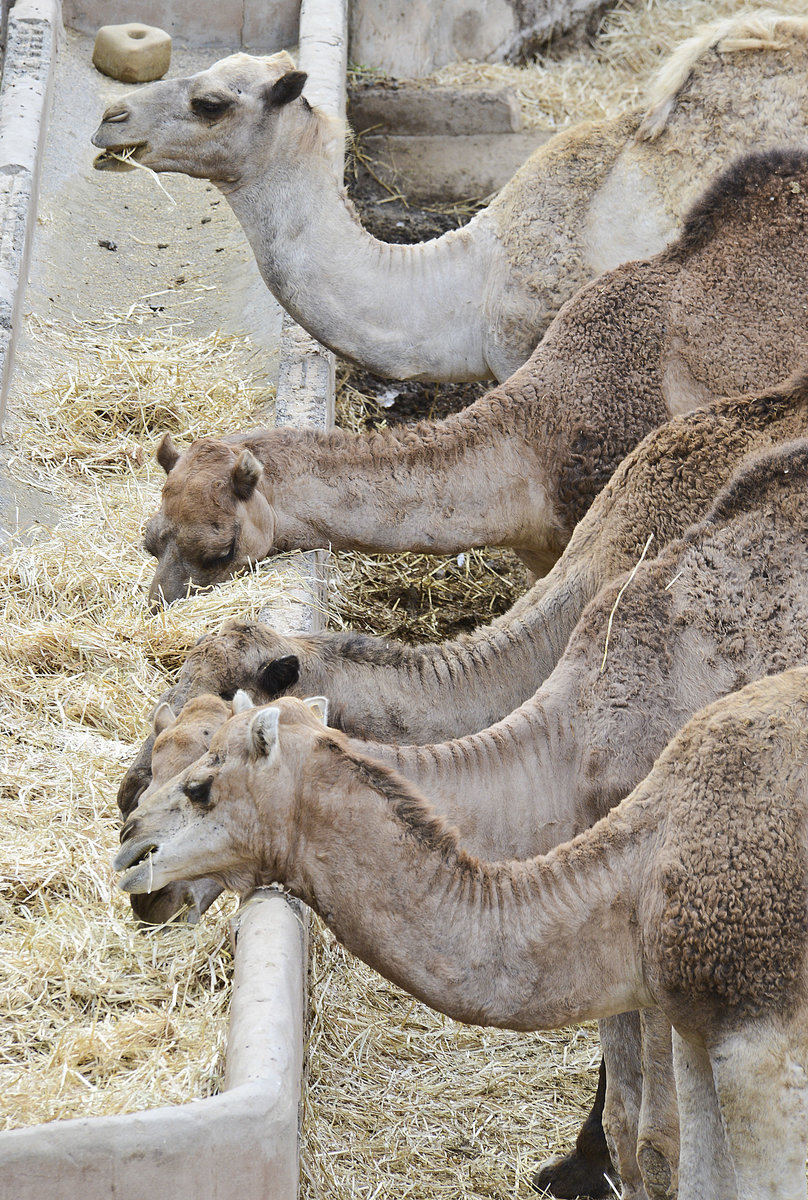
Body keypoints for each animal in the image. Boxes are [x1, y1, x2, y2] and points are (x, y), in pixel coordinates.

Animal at [118, 441, 808, 1200]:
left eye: (194, 769)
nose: (127, 826)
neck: (566, 745)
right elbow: (628, 1122)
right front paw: (577, 1166)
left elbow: (657, 1145)